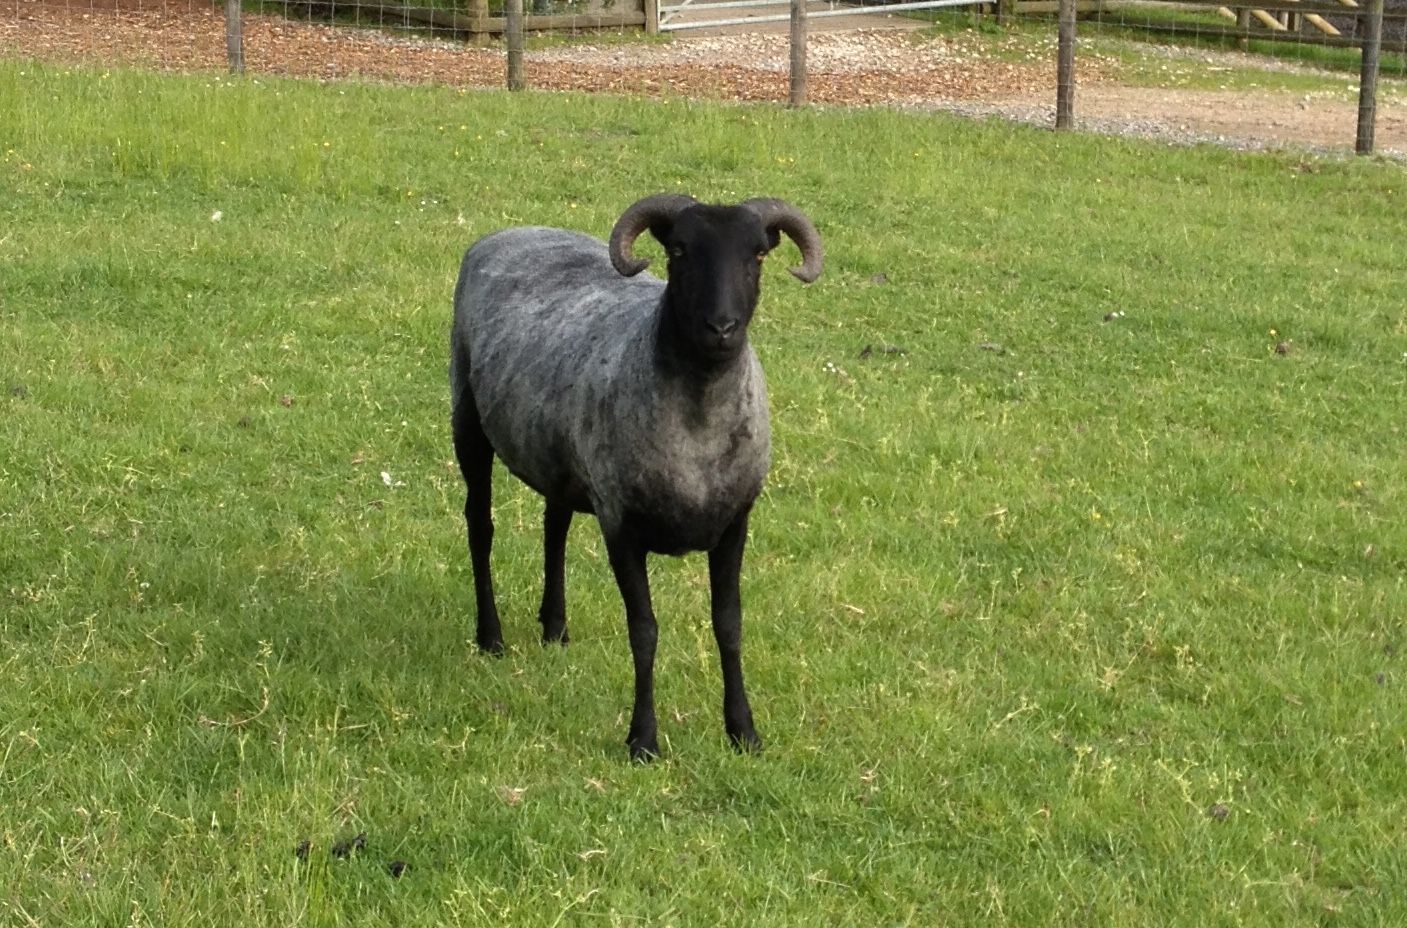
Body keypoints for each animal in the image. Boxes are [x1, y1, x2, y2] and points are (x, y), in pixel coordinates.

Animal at [449, 194, 823, 761]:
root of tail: (509, 232)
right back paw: (491, 637)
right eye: (678, 249)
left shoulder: (734, 523)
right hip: (467, 417)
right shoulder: (620, 524)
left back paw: (555, 627)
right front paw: (643, 740)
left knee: (554, 526)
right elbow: (644, 631)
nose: (722, 328)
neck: (697, 426)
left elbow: (729, 625)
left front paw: (743, 731)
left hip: (560, 457)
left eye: (758, 254)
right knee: (480, 526)